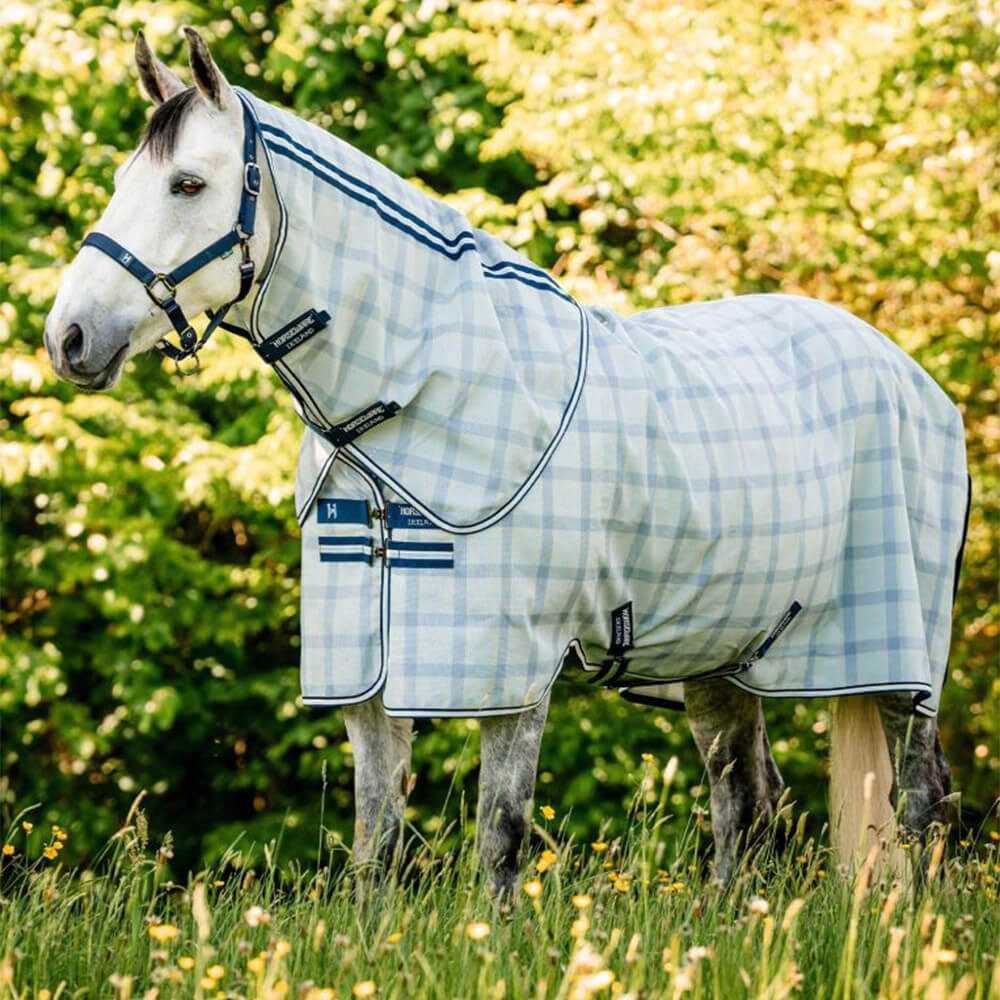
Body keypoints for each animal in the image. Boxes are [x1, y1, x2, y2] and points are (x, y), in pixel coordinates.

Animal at [44, 29, 968, 894]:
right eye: (125, 181)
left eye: (187, 185)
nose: (70, 338)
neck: (410, 402)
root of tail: (916, 380)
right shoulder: (366, 678)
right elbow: (375, 844)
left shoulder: (510, 669)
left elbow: (499, 836)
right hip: (726, 656)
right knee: (746, 802)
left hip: (900, 663)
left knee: (917, 802)